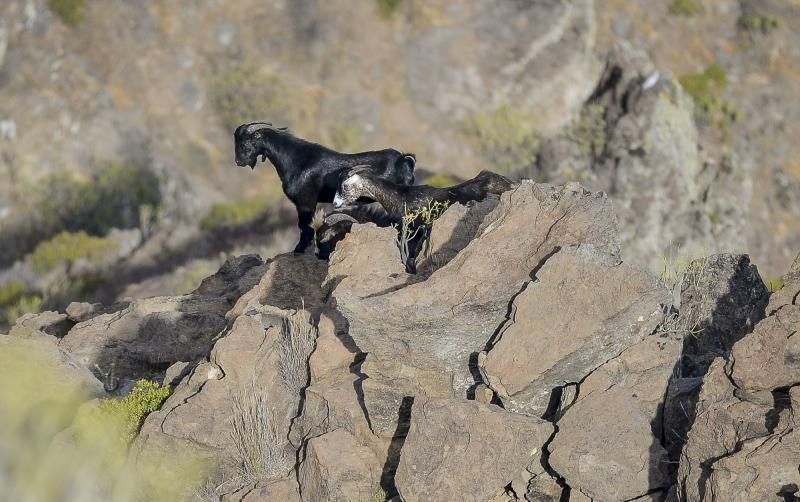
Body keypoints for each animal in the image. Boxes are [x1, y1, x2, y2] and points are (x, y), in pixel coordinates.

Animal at [234, 121, 416, 253]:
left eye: (246, 142)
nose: (238, 161)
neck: (295, 160)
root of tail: (403, 160)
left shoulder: (305, 203)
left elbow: (304, 227)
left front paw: (299, 249)